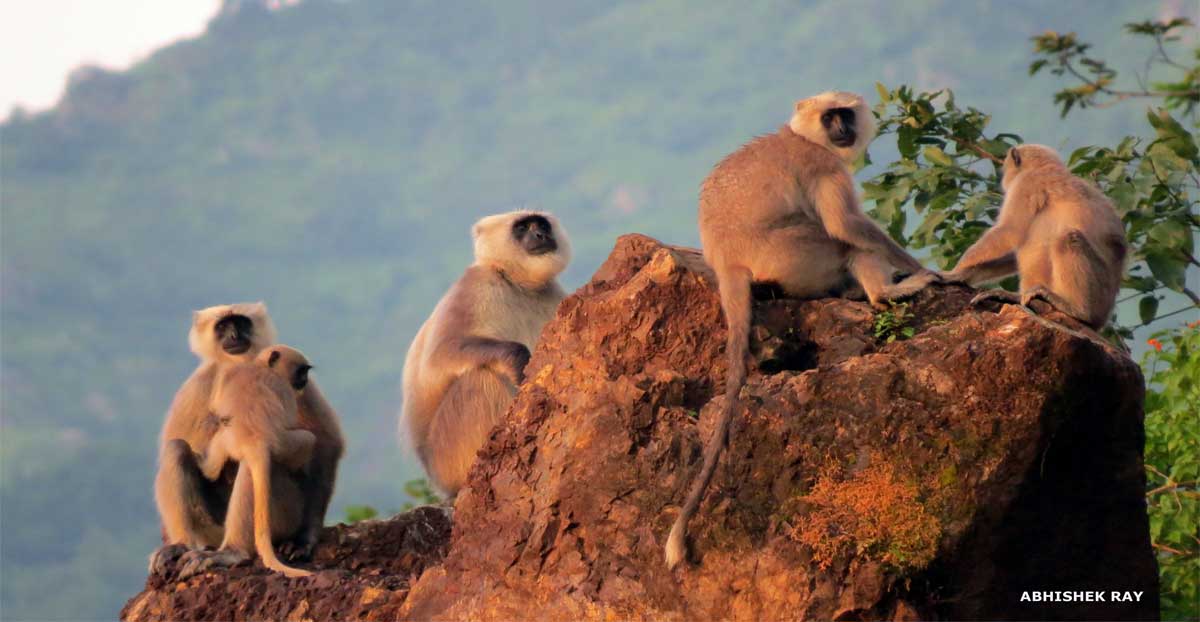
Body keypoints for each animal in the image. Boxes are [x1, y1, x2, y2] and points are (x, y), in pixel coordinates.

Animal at [204, 345, 321, 581]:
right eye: (301, 371)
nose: (304, 380)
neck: (260, 367)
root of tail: (255, 441)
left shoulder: (230, 374)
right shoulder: (283, 389)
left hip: (230, 441)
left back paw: (209, 469)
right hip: (286, 447)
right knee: (309, 440)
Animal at [403, 212, 571, 499]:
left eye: (541, 224)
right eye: (522, 227)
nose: (541, 235)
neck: (518, 283)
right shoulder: (475, 285)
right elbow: (441, 354)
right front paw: (520, 364)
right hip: (447, 454)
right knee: (479, 378)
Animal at [667, 91, 936, 571]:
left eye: (845, 114)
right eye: (831, 117)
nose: (843, 129)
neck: (802, 135)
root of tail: (725, 259)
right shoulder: (821, 164)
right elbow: (845, 225)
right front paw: (926, 270)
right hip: (794, 255)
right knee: (841, 240)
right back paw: (881, 293)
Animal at [940, 144, 1128, 329]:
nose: (1004, 178)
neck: (1045, 168)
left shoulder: (1026, 183)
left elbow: (1010, 231)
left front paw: (953, 273)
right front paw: (963, 274)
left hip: (1100, 294)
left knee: (1065, 238)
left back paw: (1078, 311)